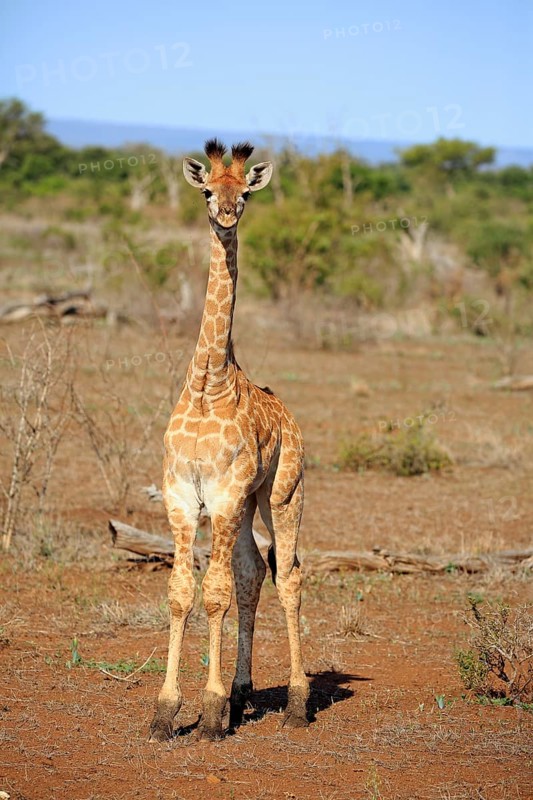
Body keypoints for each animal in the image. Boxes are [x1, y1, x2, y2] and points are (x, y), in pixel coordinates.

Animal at [149, 139, 309, 742]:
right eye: (206, 190)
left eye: (245, 193)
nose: (226, 214)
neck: (207, 384)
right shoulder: (181, 495)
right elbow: (181, 593)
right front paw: (166, 711)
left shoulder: (222, 495)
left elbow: (212, 593)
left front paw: (211, 711)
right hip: (242, 507)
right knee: (252, 571)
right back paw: (244, 692)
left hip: (279, 494)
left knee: (288, 575)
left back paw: (296, 701)